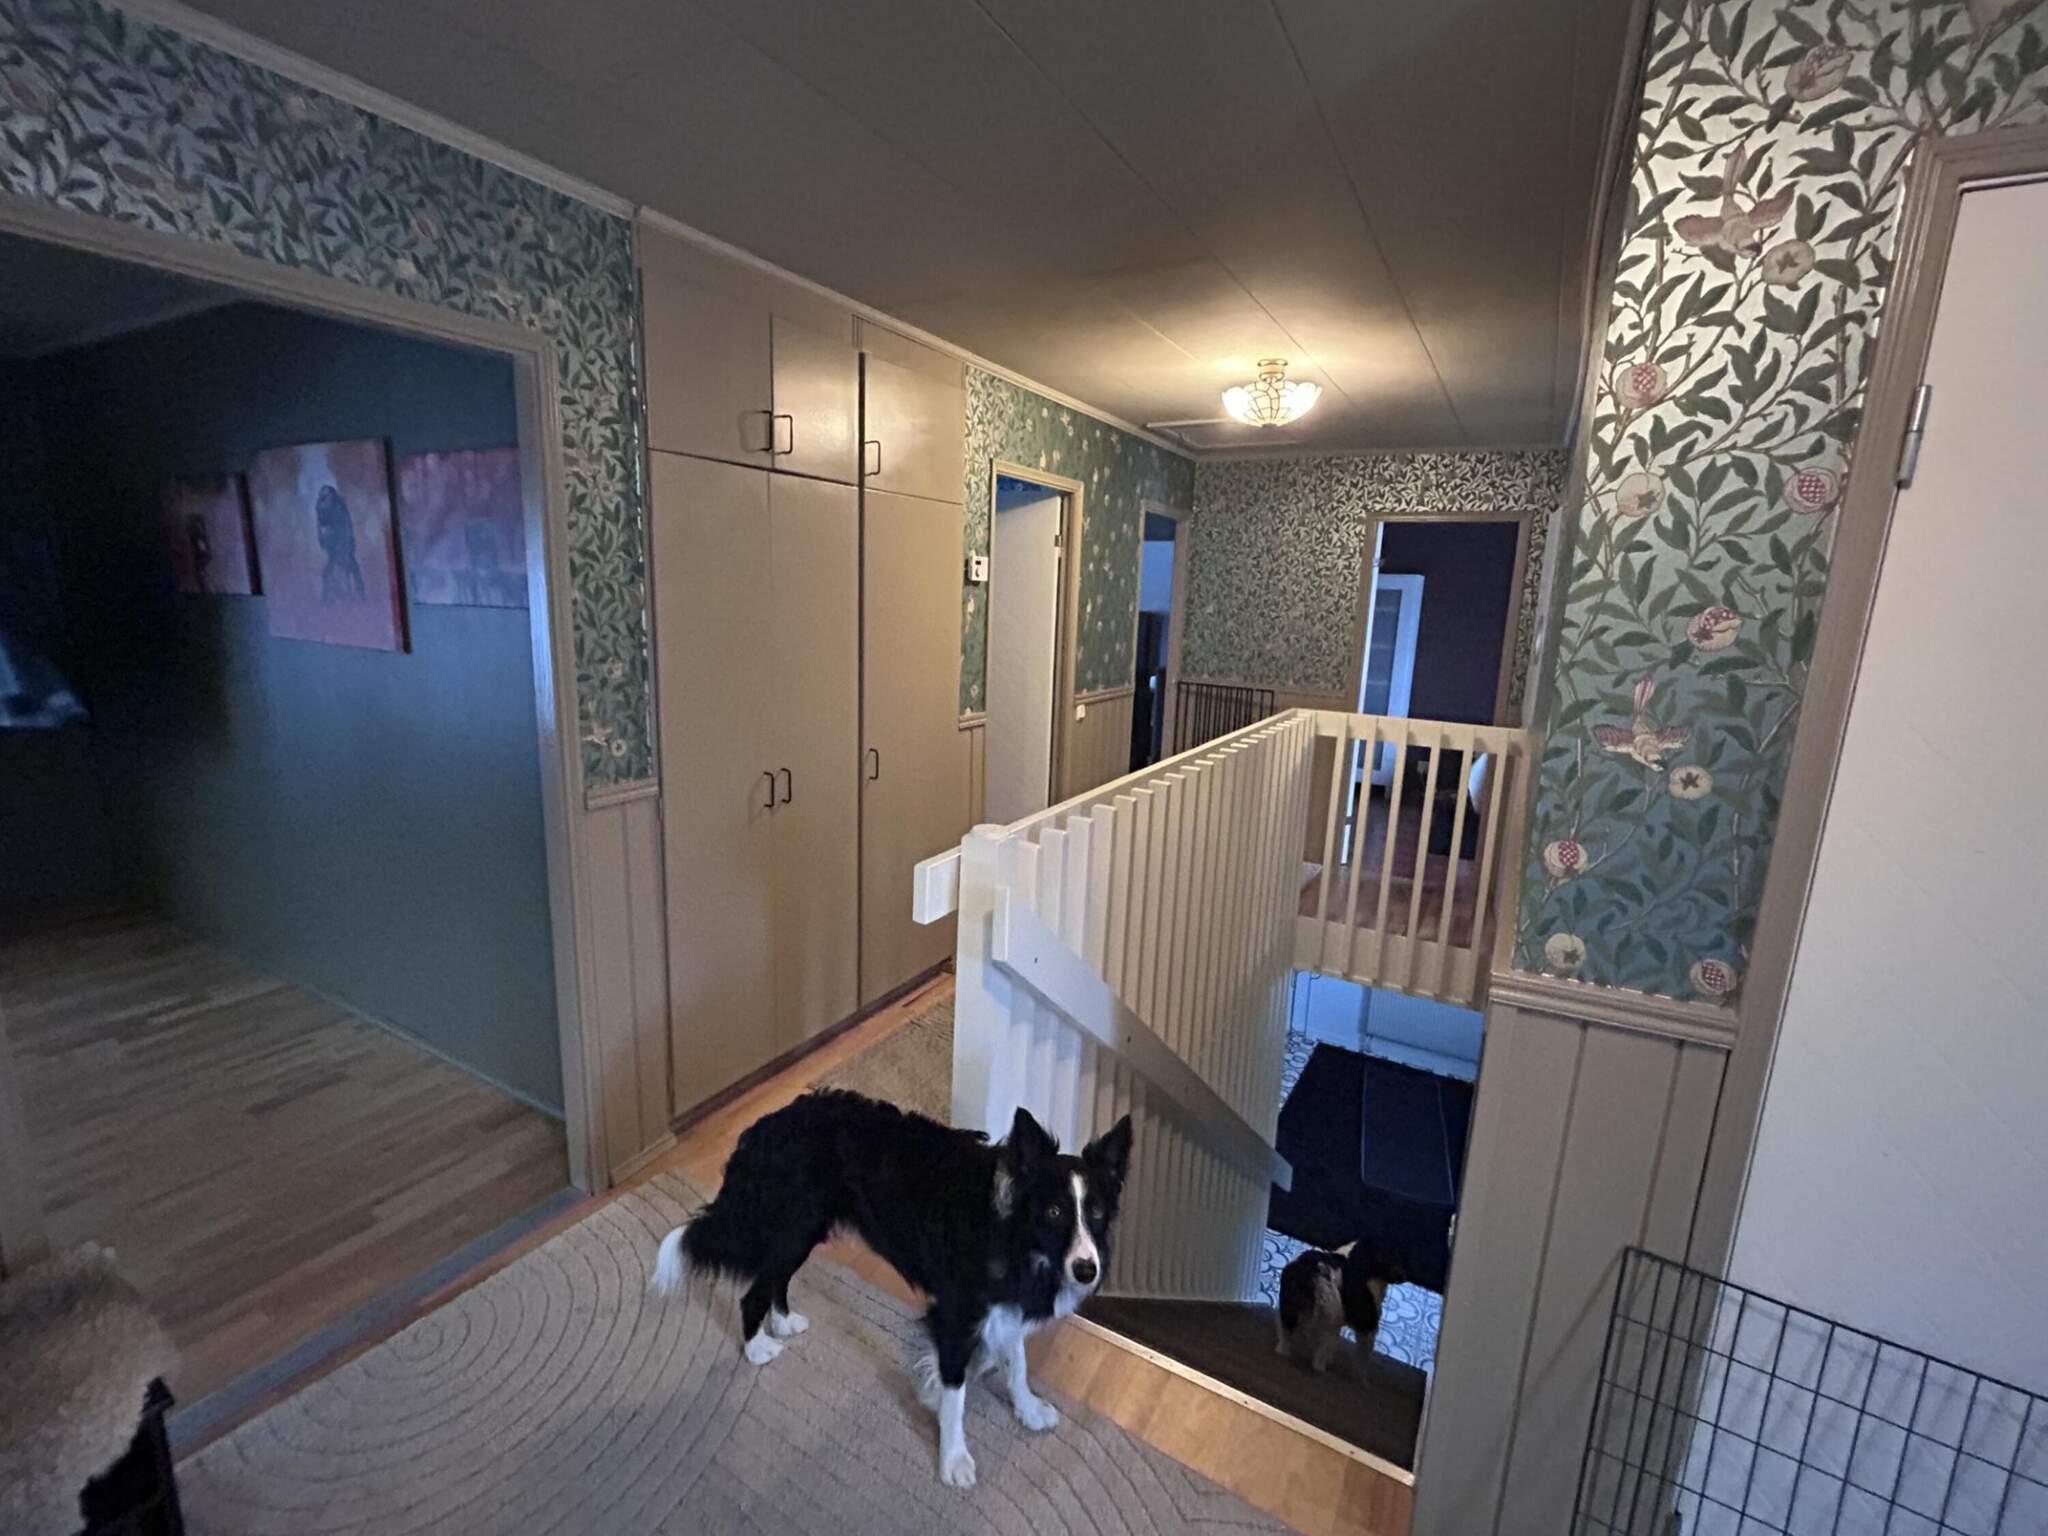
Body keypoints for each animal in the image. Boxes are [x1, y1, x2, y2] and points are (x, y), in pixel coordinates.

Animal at [650, 1090, 1132, 1489]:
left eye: (1097, 1213)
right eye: (1054, 1211)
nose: (1086, 1270)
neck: (1014, 1231)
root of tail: (765, 1125)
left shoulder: (1005, 1305)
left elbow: (1016, 1363)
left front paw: (1027, 1410)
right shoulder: (956, 1314)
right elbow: (956, 1391)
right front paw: (953, 1459)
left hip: (805, 1229)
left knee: (778, 1280)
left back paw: (784, 1322)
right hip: (792, 1227)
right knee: (752, 1293)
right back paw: (757, 1349)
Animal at [1274, 1240, 1400, 1373]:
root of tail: (1311, 1270)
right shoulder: (1365, 1324)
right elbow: (1362, 1356)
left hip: (1288, 1310)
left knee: (1284, 1340)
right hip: (1328, 1323)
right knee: (1318, 1358)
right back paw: (1321, 1368)